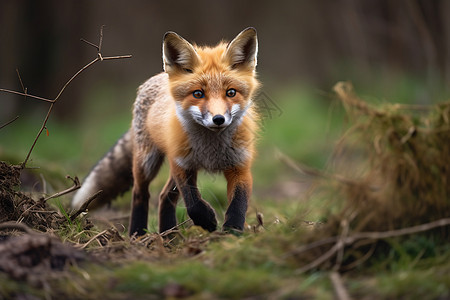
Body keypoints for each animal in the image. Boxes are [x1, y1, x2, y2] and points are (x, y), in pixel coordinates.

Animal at [71, 27, 258, 236]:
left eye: (231, 93)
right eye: (198, 94)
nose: (218, 119)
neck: (211, 149)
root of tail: (160, 76)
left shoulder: (240, 166)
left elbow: (238, 203)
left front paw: (233, 232)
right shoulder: (181, 165)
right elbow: (193, 203)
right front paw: (208, 220)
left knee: (164, 196)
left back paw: (169, 236)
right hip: (147, 162)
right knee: (140, 193)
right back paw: (138, 234)